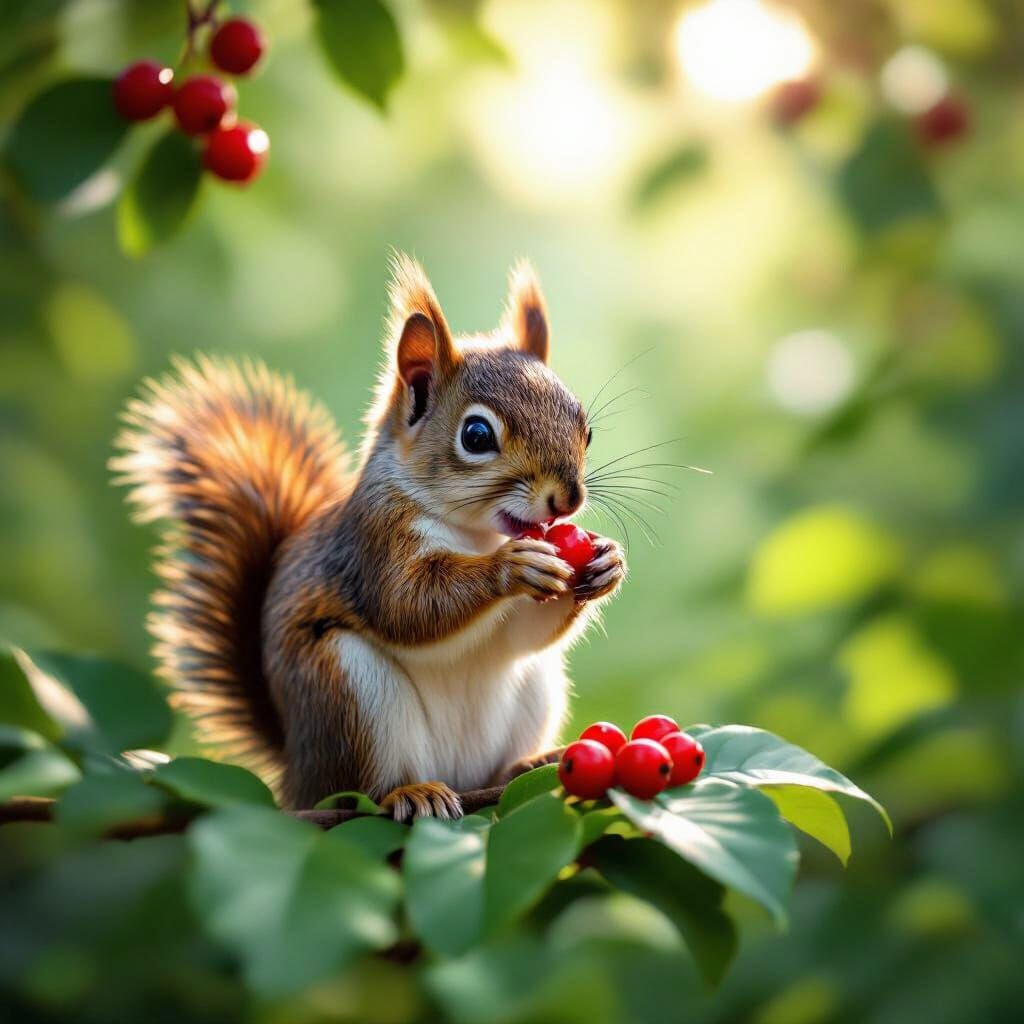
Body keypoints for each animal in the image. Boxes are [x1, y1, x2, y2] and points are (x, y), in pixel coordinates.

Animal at [111, 254, 626, 818]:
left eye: (586, 428)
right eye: (476, 436)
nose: (568, 500)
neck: (474, 534)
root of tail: (297, 775)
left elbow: (521, 636)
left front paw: (607, 562)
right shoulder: (373, 543)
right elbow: (407, 605)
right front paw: (511, 568)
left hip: (535, 686)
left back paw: (529, 764)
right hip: (348, 694)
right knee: (364, 791)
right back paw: (411, 792)